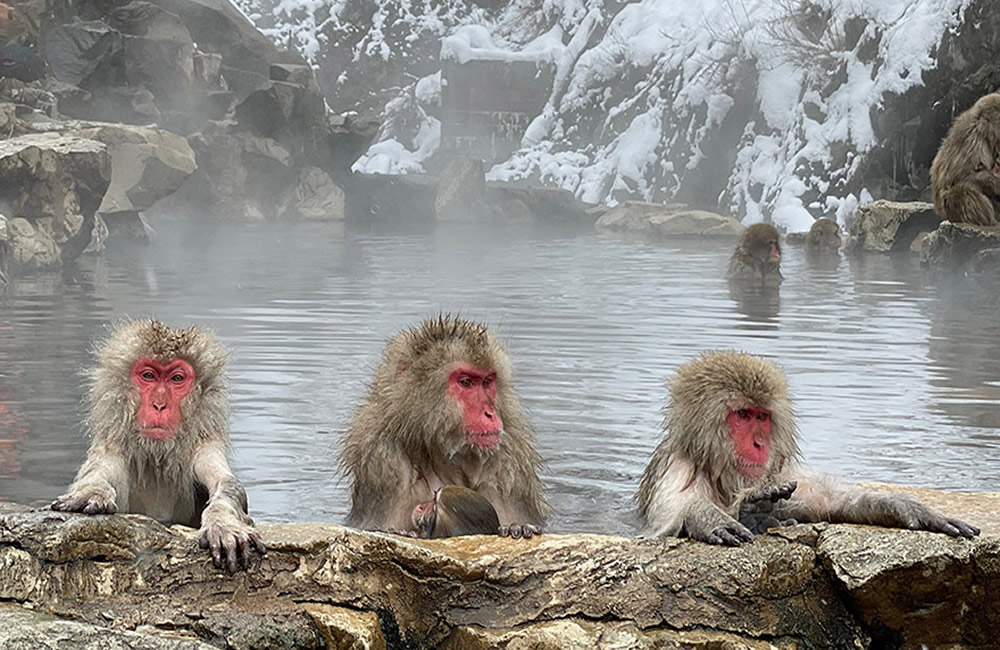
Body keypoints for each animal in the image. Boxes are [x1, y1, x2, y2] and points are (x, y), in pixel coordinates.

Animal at [51, 319, 265, 572]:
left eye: (176, 379)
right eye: (149, 375)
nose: (159, 405)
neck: (157, 458)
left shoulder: (204, 447)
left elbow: (227, 484)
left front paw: (223, 523)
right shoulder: (114, 447)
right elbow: (97, 473)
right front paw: (90, 492)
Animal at [341, 314, 550, 539]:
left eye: (487, 381)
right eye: (466, 382)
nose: (490, 413)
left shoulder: (509, 464)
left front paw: (516, 527)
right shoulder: (384, 464)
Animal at [636, 351, 980, 546]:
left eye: (761, 416)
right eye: (742, 415)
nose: (759, 443)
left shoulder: (780, 473)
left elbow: (831, 502)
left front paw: (909, 508)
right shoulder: (677, 470)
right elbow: (666, 522)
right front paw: (707, 516)